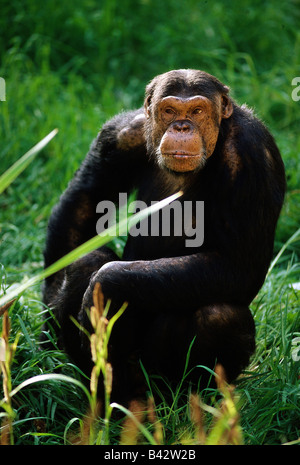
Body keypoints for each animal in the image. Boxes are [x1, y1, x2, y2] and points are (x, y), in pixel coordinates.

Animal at [41, 68, 284, 402]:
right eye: (169, 110)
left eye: (197, 111)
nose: (181, 126)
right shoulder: (121, 135)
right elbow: (85, 199)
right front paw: (47, 324)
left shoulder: (251, 156)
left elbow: (238, 265)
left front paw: (108, 284)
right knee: (86, 260)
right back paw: (103, 396)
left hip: (159, 375)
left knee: (220, 316)